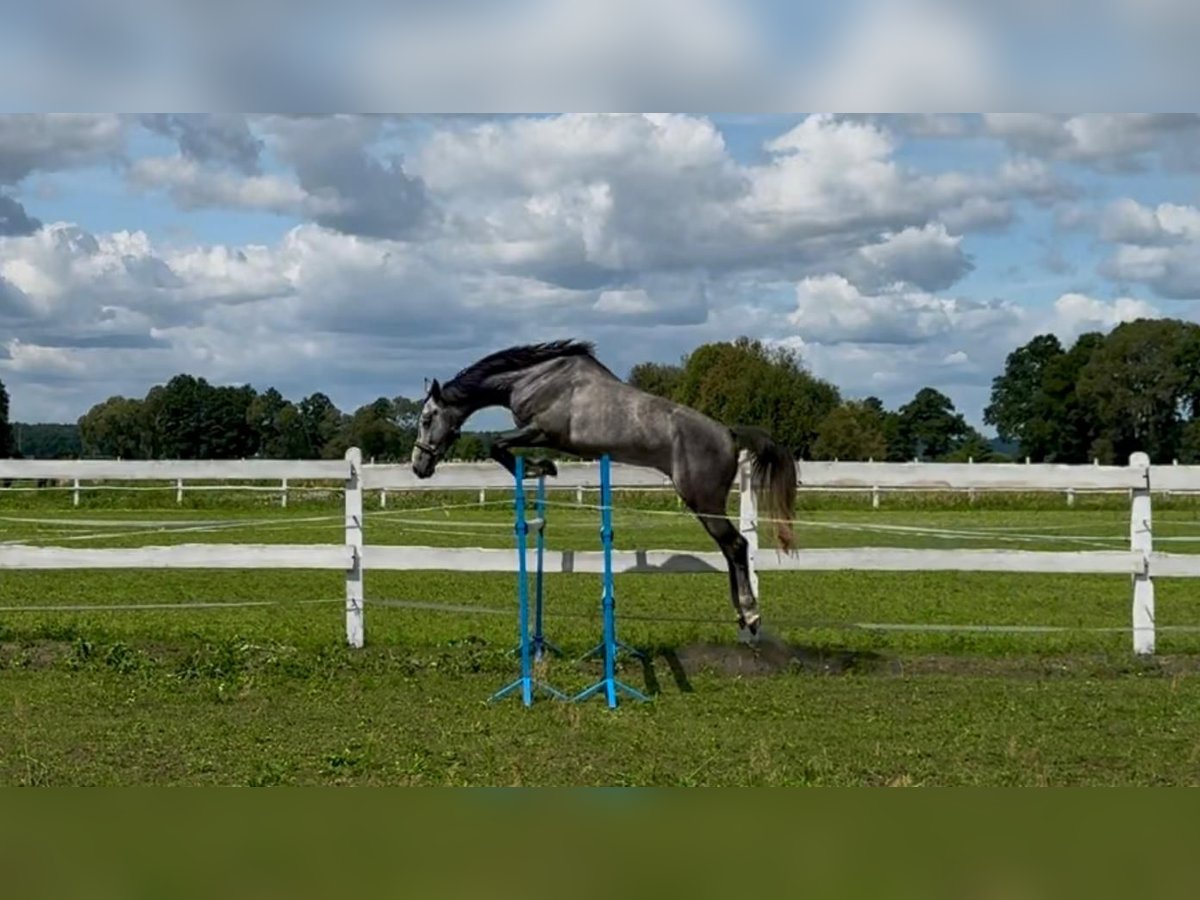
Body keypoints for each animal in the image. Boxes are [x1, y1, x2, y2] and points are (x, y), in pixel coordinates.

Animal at [411, 339, 797, 636]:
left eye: (427, 419)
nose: (419, 466)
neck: (534, 378)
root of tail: (729, 434)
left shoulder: (543, 431)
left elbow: (497, 445)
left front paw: (541, 467)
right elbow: (501, 446)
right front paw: (543, 467)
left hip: (703, 500)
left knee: (736, 545)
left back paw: (750, 613)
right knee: (732, 549)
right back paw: (741, 615)